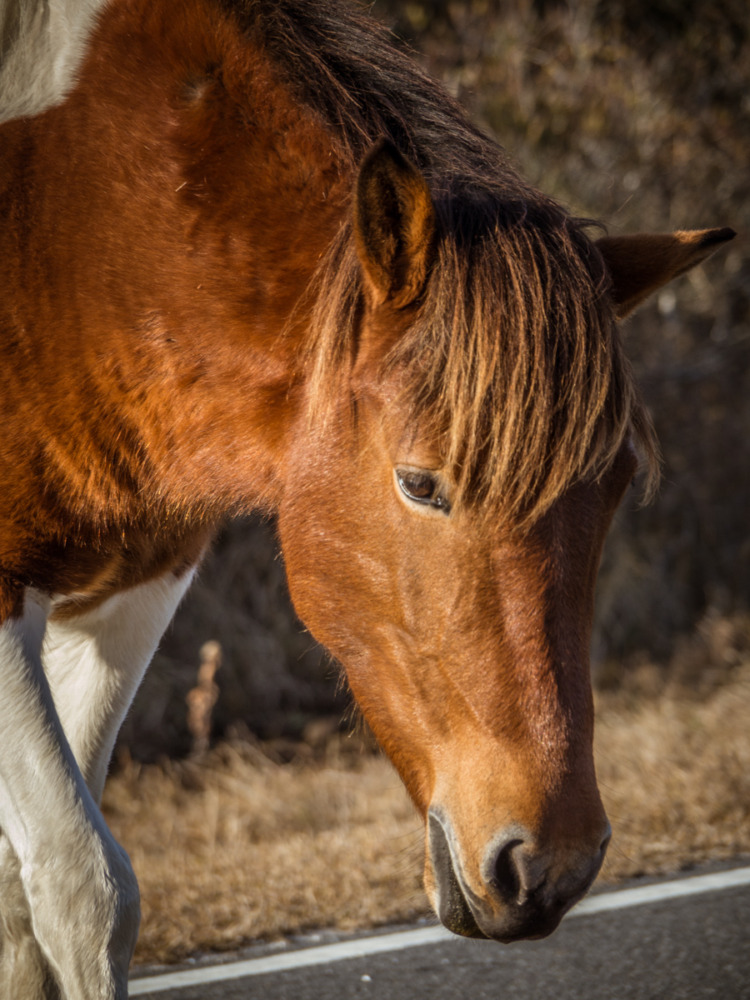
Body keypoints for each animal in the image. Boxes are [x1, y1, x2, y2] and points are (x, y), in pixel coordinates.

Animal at [0, 1, 736, 1000]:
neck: (73, 229)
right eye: (420, 484)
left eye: (615, 486)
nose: (551, 867)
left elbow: (24, 903)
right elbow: (85, 889)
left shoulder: (133, 595)